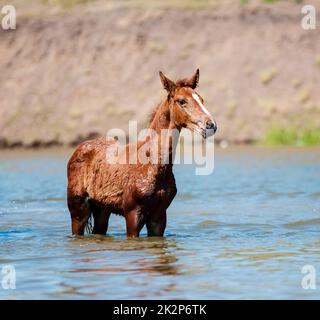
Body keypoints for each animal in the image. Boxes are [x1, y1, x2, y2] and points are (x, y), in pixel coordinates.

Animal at [67, 69, 218, 238]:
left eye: (201, 99)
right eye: (182, 101)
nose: (210, 125)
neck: (153, 166)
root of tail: (80, 148)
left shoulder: (159, 217)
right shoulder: (133, 214)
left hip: (102, 209)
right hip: (78, 210)